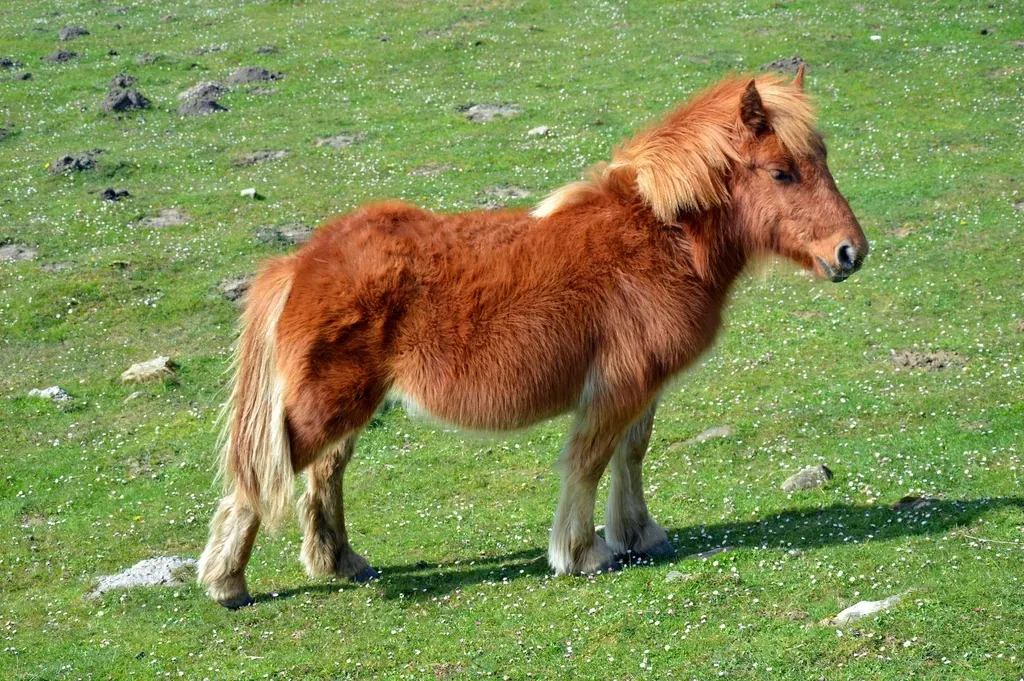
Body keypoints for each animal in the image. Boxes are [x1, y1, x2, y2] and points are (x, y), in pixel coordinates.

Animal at [198, 65, 868, 608]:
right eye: (782, 172)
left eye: (824, 160)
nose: (850, 253)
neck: (659, 241)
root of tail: (301, 262)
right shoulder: (618, 386)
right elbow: (588, 461)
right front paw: (583, 553)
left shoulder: (643, 387)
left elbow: (630, 454)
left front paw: (640, 535)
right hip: (324, 407)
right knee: (259, 480)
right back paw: (227, 583)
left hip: (348, 405)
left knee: (325, 474)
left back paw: (340, 562)